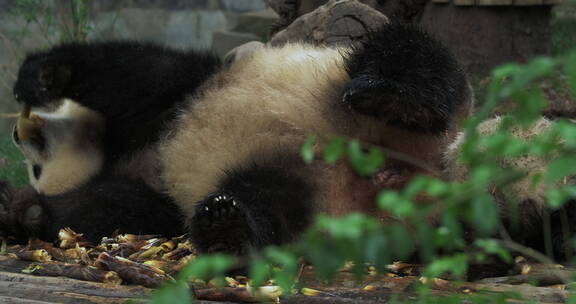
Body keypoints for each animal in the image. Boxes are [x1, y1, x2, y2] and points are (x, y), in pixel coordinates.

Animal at [0, 25, 472, 255]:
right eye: (36, 170)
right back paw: (228, 224)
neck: (122, 151)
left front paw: (43, 76)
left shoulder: (176, 98)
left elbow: (131, 72)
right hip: (310, 199)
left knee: (414, 56)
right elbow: (108, 208)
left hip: (358, 87)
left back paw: (396, 98)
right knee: (266, 201)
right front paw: (21, 208)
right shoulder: (155, 194)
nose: (17, 134)